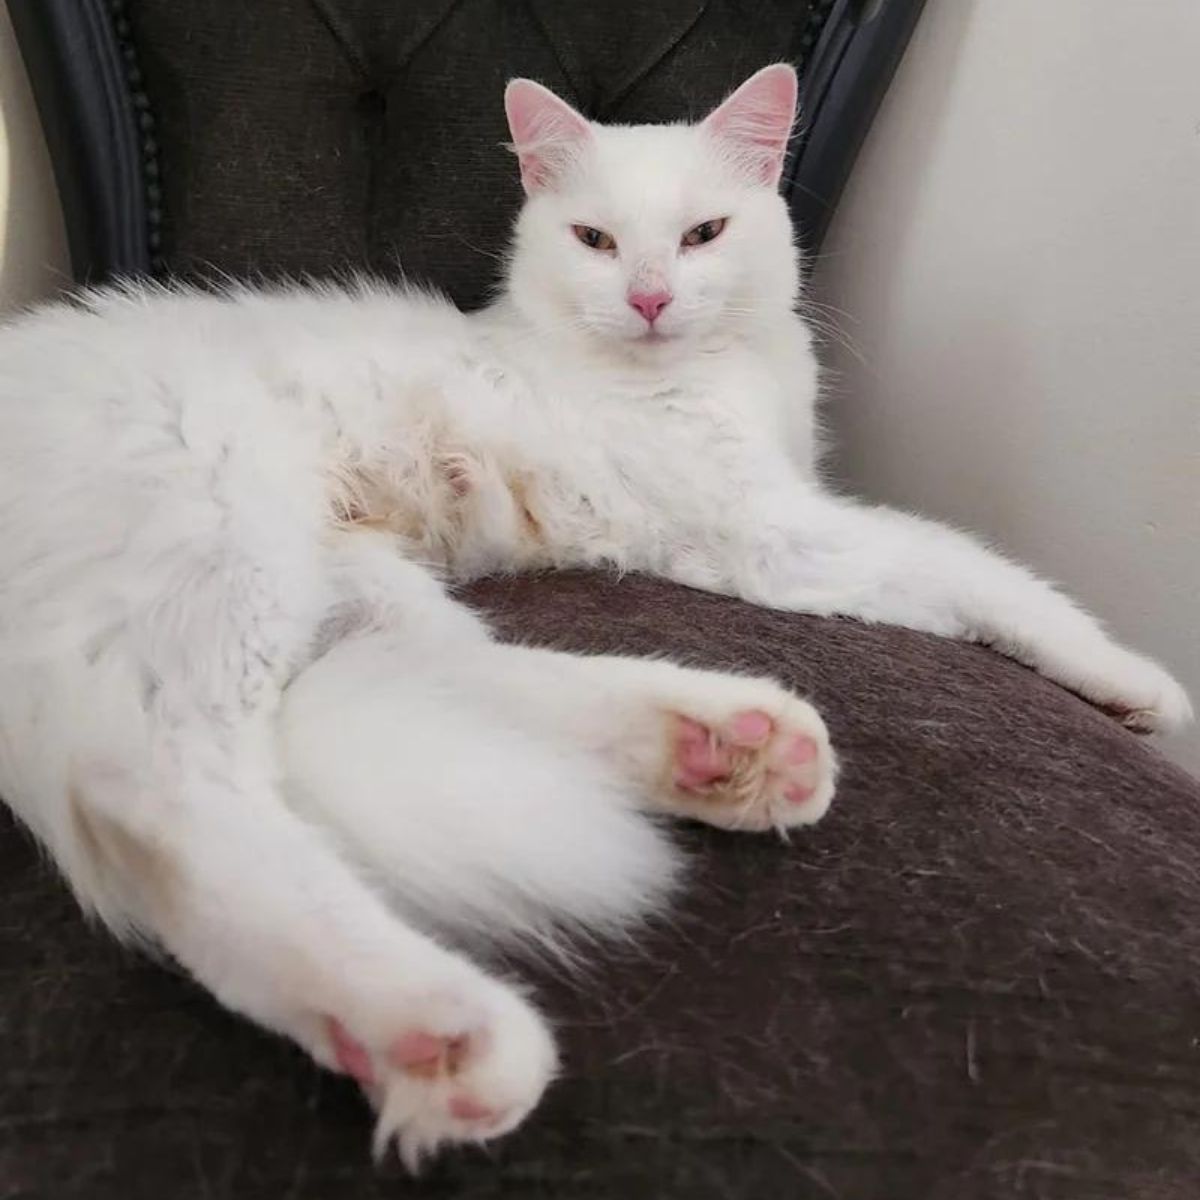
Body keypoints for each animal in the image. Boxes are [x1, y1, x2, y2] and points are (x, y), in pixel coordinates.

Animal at [0, 63, 1185, 1161]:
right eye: (596, 240)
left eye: (703, 234)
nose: (653, 297)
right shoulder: (785, 532)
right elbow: (981, 571)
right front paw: (1141, 683)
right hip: (227, 555)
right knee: (163, 791)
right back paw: (432, 1026)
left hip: (346, 582)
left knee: (453, 682)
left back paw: (726, 749)